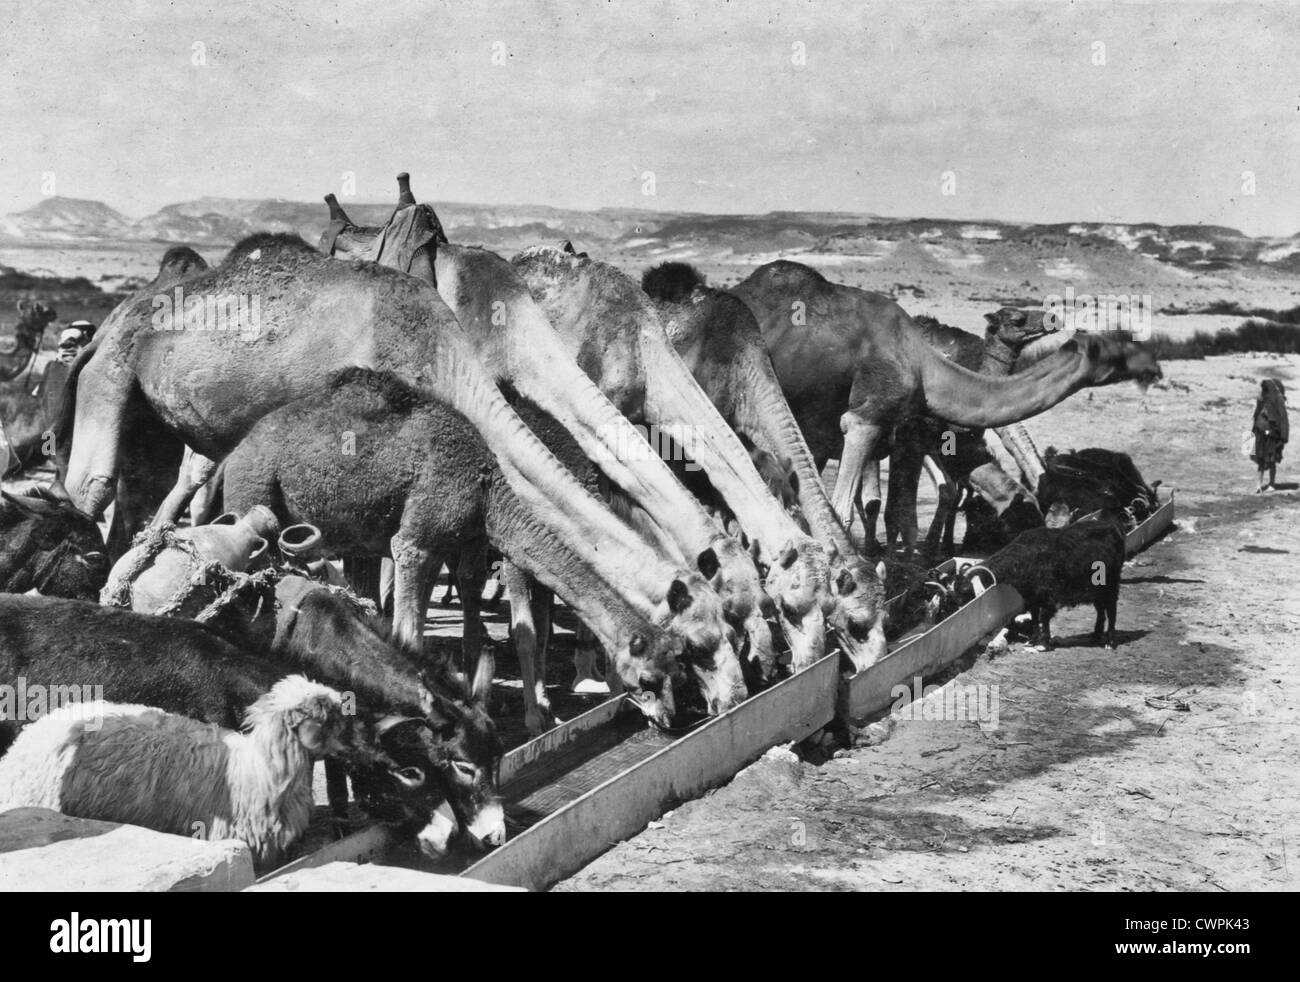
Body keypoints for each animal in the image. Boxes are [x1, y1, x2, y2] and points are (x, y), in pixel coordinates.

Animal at [222, 369, 743, 728]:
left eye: (677, 664)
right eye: (652, 677)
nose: (671, 717)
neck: (488, 490)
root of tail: (235, 452)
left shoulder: (459, 545)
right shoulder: (416, 540)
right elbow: (414, 633)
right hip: (254, 492)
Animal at [738, 261, 1164, 548]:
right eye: (1116, 352)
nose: (1154, 365)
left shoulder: (918, 436)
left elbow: (927, 500)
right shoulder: (877, 423)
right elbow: (865, 510)